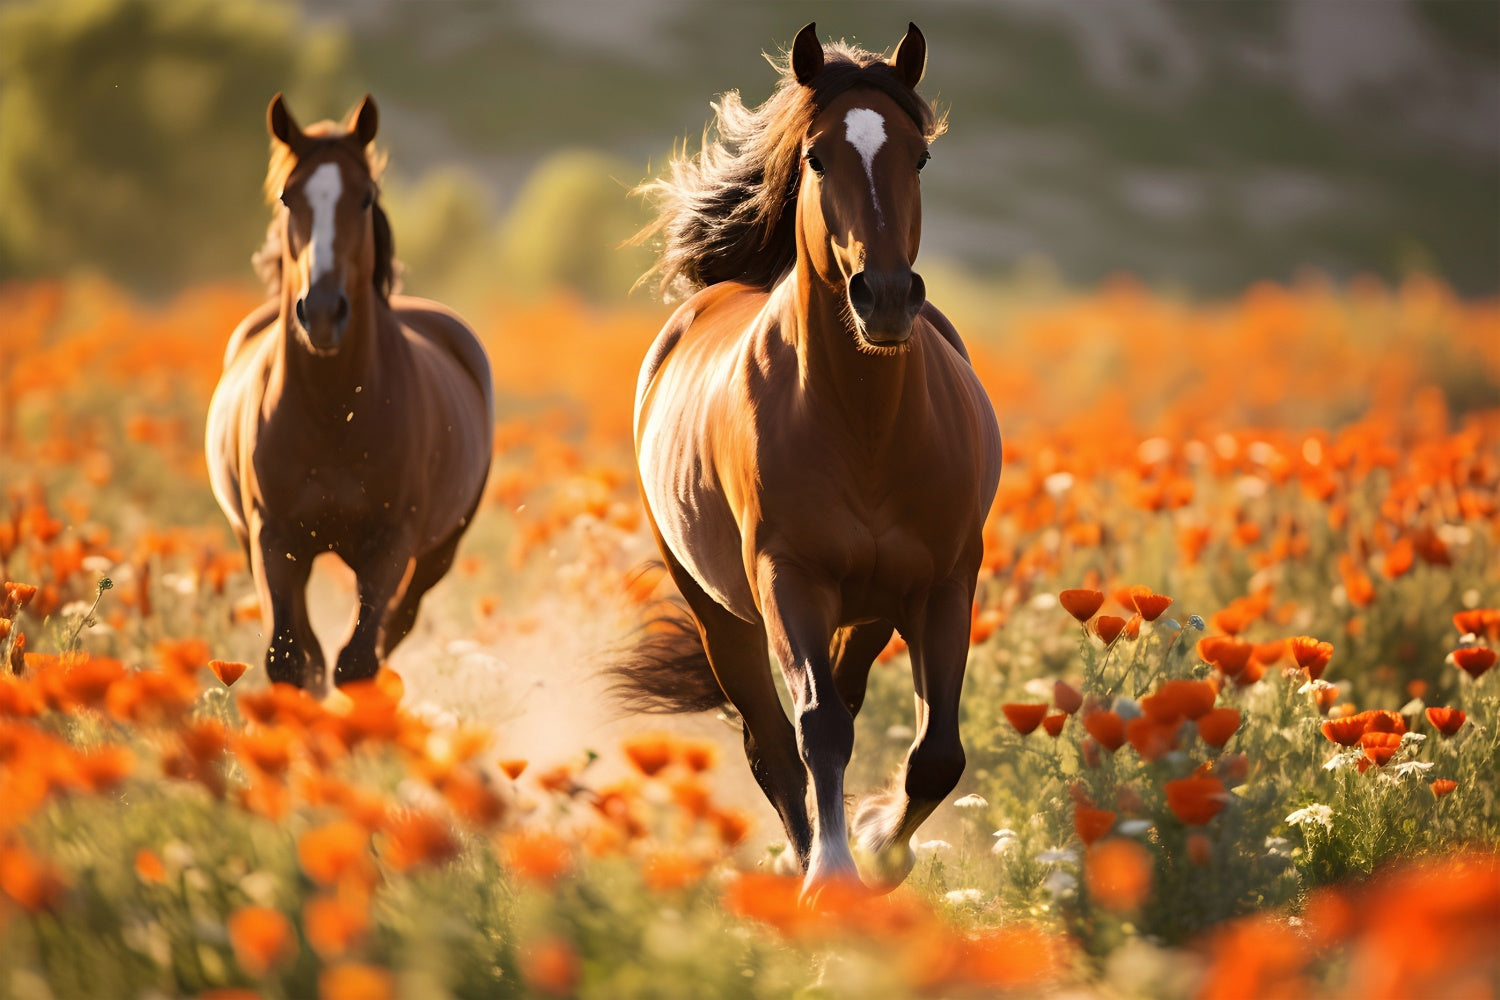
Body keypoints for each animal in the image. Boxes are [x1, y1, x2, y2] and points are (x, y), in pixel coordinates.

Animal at [208, 91, 492, 689]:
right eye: (289, 197)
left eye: (364, 199)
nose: (321, 312)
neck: (332, 410)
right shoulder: (273, 539)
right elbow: (291, 660)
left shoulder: (390, 544)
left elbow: (357, 660)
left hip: (438, 554)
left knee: (392, 630)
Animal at [615, 25, 1002, 899]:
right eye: (819, 157)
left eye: (920, 157)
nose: (884, 296)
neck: (865, 428)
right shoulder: (787, 577)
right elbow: (815, 729)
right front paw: (833, 874)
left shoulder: (945, 582)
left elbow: (937, 753)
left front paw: (882, 848)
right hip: (719, 610)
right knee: (772, 744)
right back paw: (802, 860)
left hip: (873, 608)